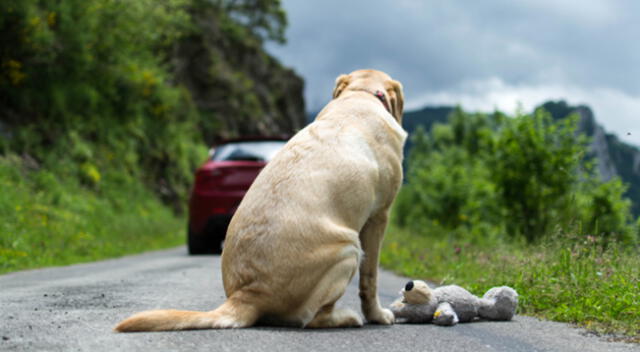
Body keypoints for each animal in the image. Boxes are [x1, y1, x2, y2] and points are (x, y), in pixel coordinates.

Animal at [114, 69, 404, 332]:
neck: (360, 95)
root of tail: (248, 295)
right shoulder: (379, 216)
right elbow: (370, 278)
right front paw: (378, 315)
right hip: (348, 248)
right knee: (312, 319)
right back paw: (347, 318)